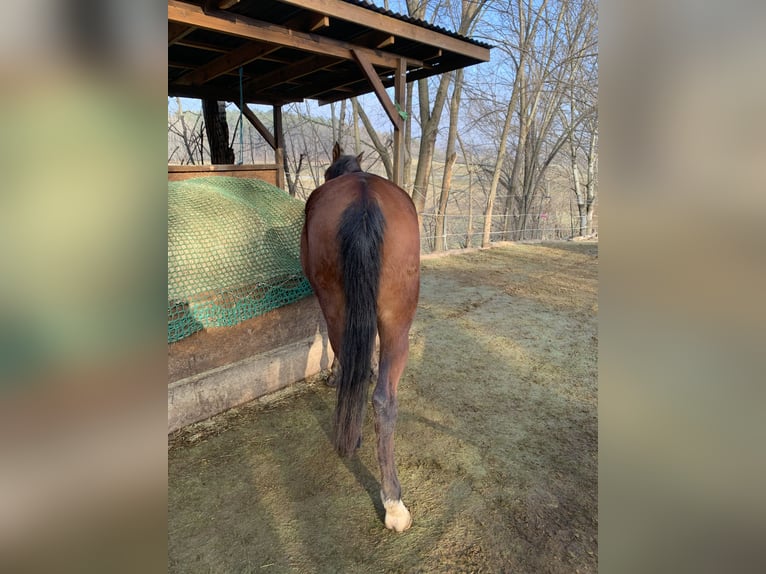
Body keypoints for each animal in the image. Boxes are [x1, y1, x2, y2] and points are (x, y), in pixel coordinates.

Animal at [300, 144, 420, 536]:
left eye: (325, 170)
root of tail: (364, 200)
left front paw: (334, 373)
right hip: (398, 321)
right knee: (384, 400)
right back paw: (393, 501)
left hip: (337, 304)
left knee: (346, 358)